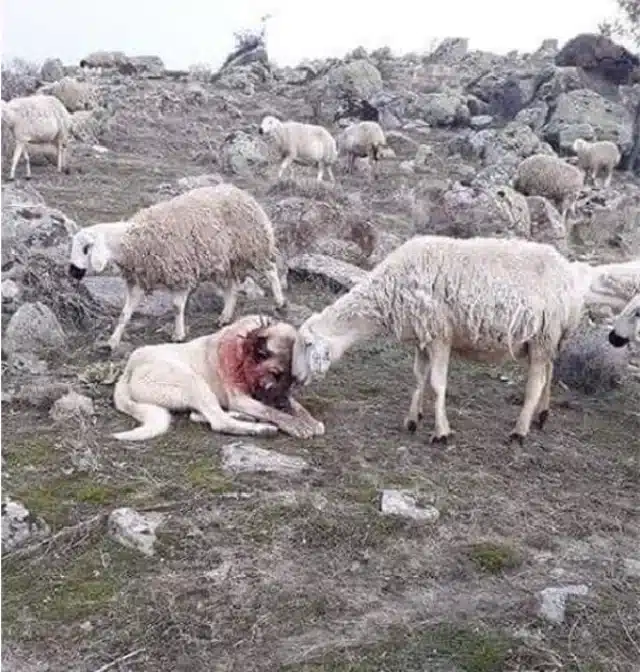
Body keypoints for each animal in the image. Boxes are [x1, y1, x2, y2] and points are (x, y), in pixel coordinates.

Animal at [68, 183, 287, 351]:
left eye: (86, 249)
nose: (72, 272)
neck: (134, 242)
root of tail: (240, 192)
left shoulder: (180, 273)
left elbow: (176, 307)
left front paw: (178, 334)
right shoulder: (138, 280)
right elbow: (125, 313)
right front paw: (113, 341)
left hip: (254, 245)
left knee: (270, 270)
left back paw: (279, 301)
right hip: (225, 260)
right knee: (231, 287)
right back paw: (225, 317)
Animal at [112, 314, 325, 441]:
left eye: (293, 379)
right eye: (275, 374)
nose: (282, 404)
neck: (242, 354)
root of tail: (129, 368)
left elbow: (297, 406)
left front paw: (309, 420)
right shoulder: (241, 399)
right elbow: (270, 411)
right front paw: (294, 423)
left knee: (200, 415)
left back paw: (244, 417)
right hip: (192, 381)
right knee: (218, 421)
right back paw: (261, 428)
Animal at [291, 235, 639, 444]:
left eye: (306, 345)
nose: (293, 377)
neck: (386, 291)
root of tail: (571, 273)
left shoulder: (439, 335)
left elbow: (436, 384)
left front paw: (441, 432)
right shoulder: (422, 338)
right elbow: (418, 379)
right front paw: (412, 419)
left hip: (543, 336)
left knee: (536, 383)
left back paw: (520, 430)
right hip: (546, 338)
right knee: (550, 373)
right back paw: (541, 415)